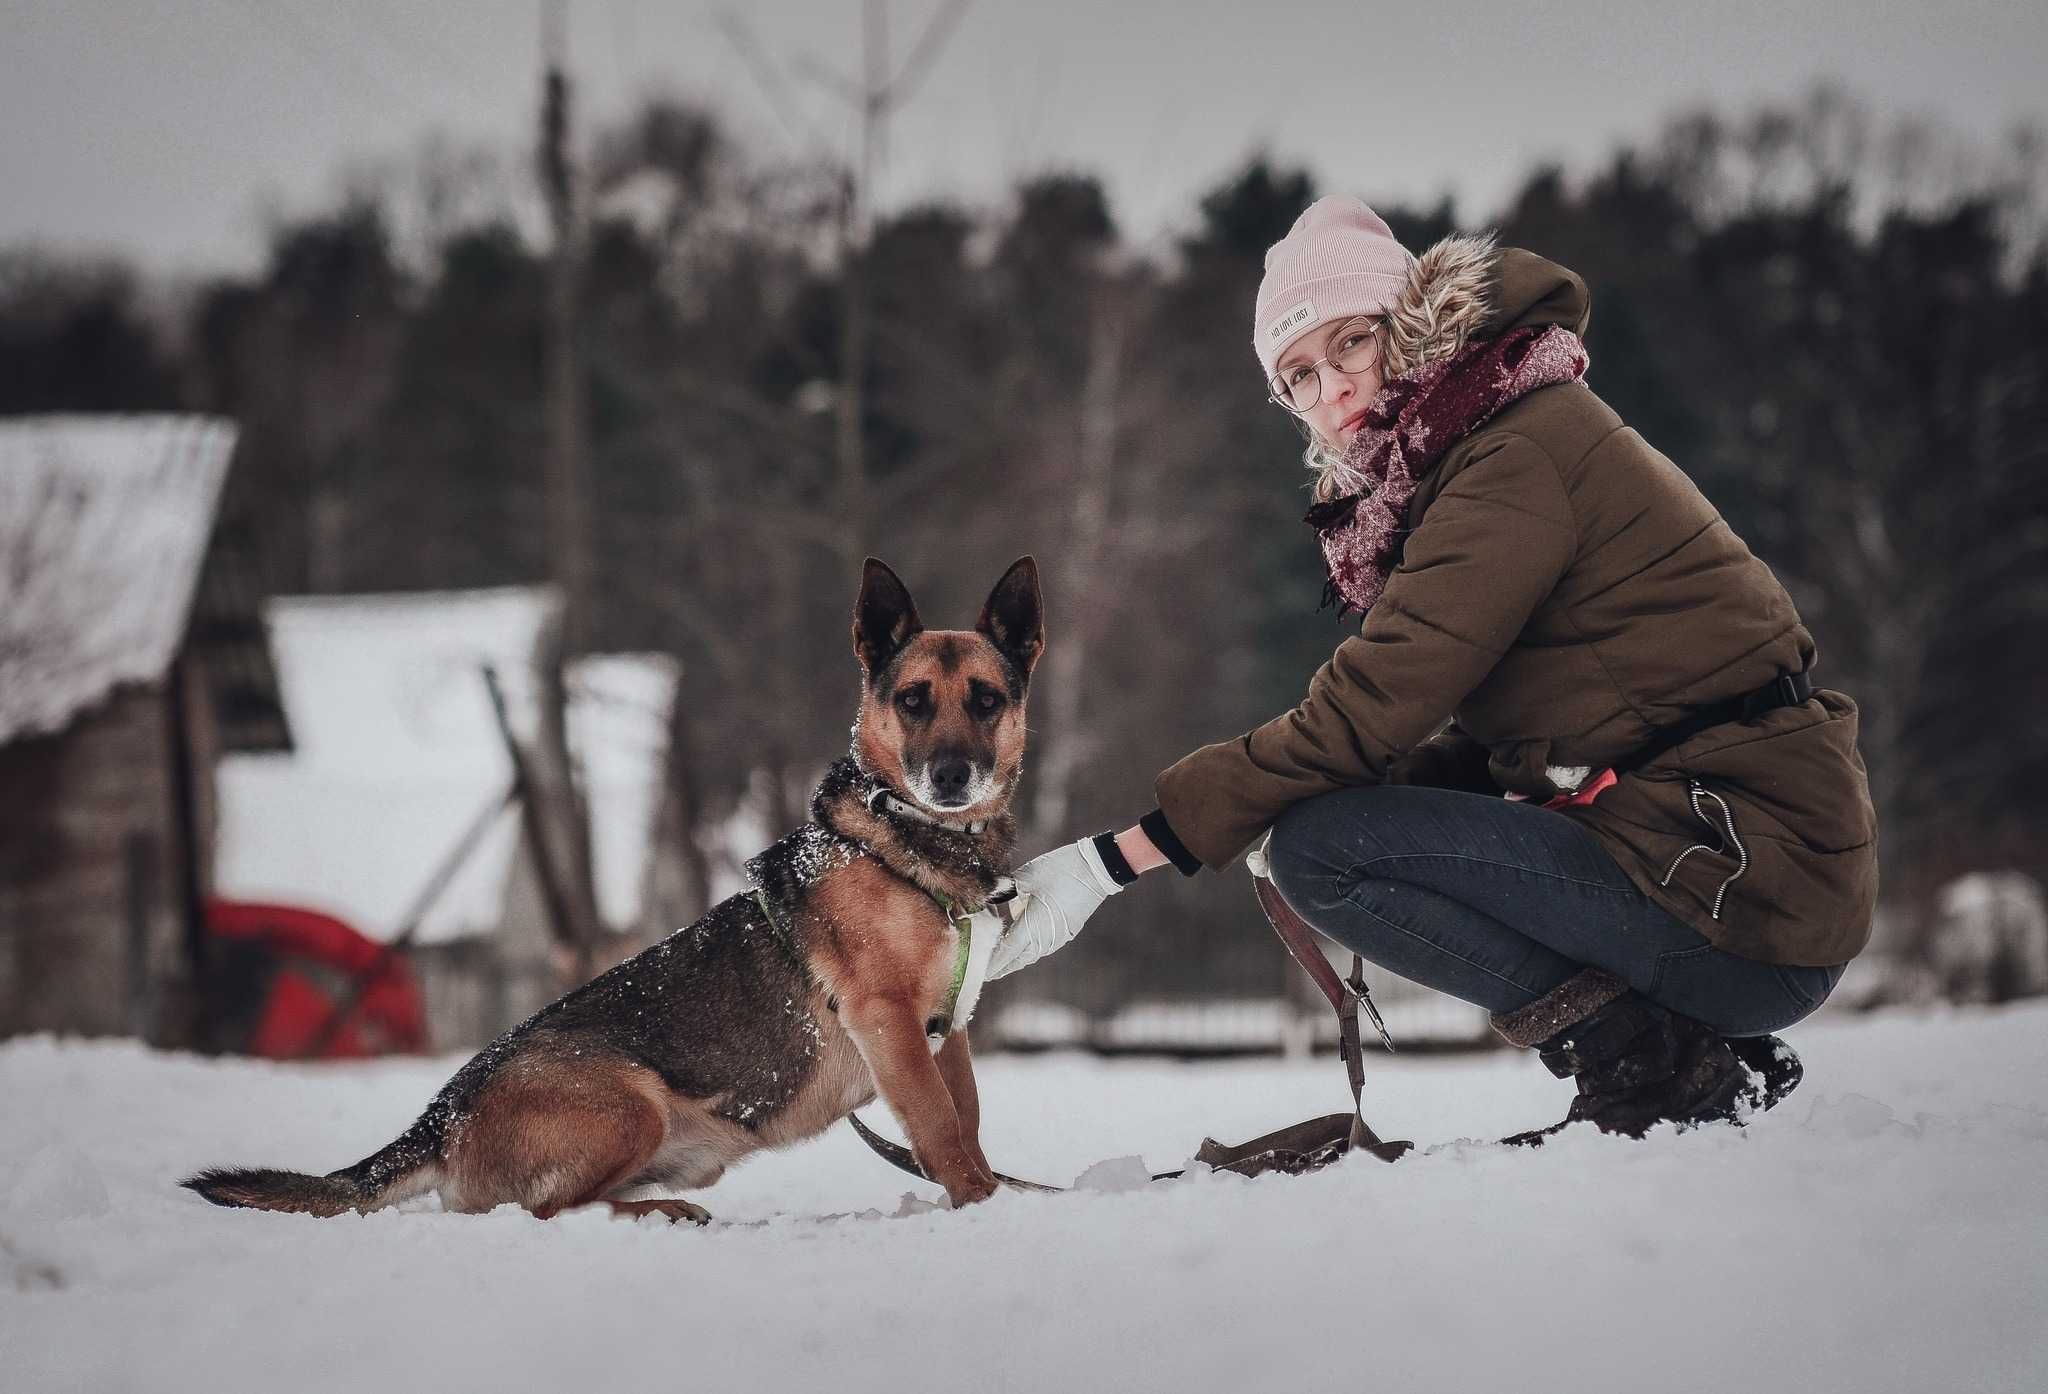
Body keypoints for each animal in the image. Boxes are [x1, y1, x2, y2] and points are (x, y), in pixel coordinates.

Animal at [184, 552, 1048, 1220]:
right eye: (912, 701)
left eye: (986, 699)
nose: (951, 777)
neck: (904, 843)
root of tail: (443, 1112)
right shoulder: (888, 1022)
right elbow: (940, 1128)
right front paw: (982, 1206)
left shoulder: (948, 1032)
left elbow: (967, 1122)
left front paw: (985, 1196)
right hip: (628, 1105)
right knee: (544, 1210)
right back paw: (659, 1214)